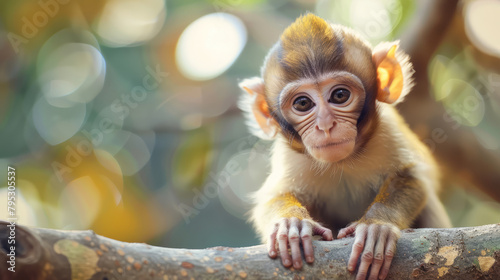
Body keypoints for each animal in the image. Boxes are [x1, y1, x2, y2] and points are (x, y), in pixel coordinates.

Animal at [239, 13, 454, 280]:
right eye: (302, 103)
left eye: (340, 95)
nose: (325, 125)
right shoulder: (289, 155)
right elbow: (272, 197)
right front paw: (291, 224)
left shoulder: (387, 131)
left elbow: (413, 177)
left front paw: (376, 226)